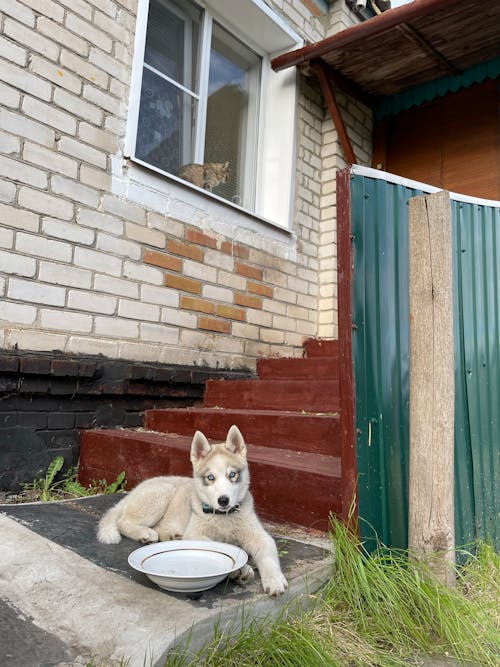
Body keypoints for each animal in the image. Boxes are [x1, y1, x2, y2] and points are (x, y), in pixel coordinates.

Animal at [97, 428, 288, 600]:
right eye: (210, 477)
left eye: (232, 474)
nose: (223, 500)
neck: (223, 518)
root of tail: (134, 491)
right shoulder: (195, 533)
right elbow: (219, 546)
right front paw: (240, 569)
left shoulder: (259, 536)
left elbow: (268, 556)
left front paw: (274, 580)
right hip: (162, 492)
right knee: (123, 521)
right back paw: (145, 533)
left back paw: (172, 536)